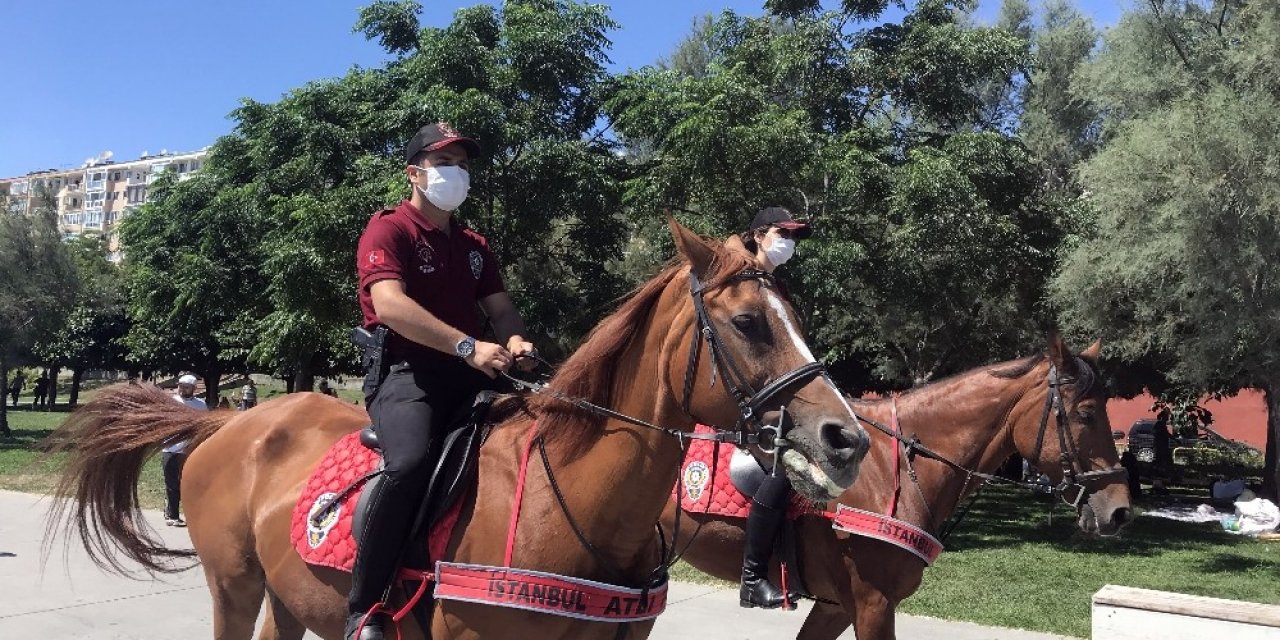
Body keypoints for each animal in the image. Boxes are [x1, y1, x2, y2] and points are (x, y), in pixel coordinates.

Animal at [47, 217, 870, 637]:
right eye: (749, 323)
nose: (848, 438)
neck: (578, 504)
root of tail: (230, 421)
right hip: (234, 587)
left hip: (286, 596)